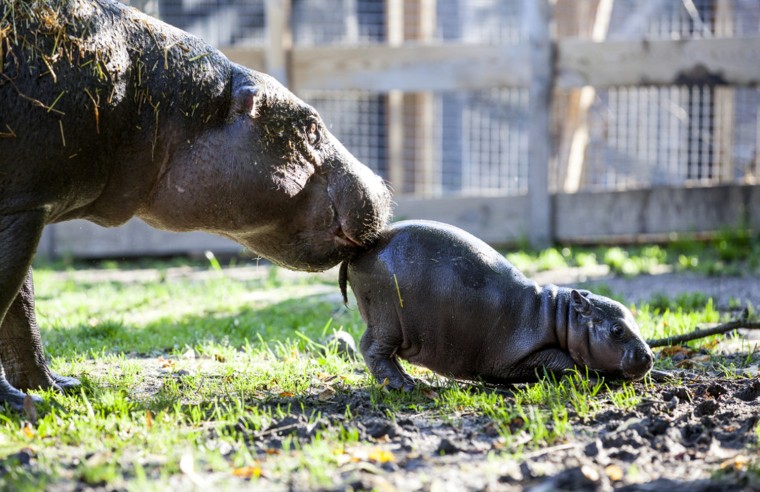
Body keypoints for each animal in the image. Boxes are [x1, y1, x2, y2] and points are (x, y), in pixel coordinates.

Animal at [0, 0, 392, 408]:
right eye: (311, 125)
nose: (381, 183)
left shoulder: (26, 207)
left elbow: (22, 310)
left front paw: (56, 388)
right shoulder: (22, 209)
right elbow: (10, 301)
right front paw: (19, 403)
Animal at [338, 221, 652, 390]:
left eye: (635, 321)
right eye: (617, 330)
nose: (649, 356)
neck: (560, 316)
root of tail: (365, 247)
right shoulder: (525, 353)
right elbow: (563, 361)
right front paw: (588, 378)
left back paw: (410, 381)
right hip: (386, 320)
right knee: (373, 349)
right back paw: (404, 384)